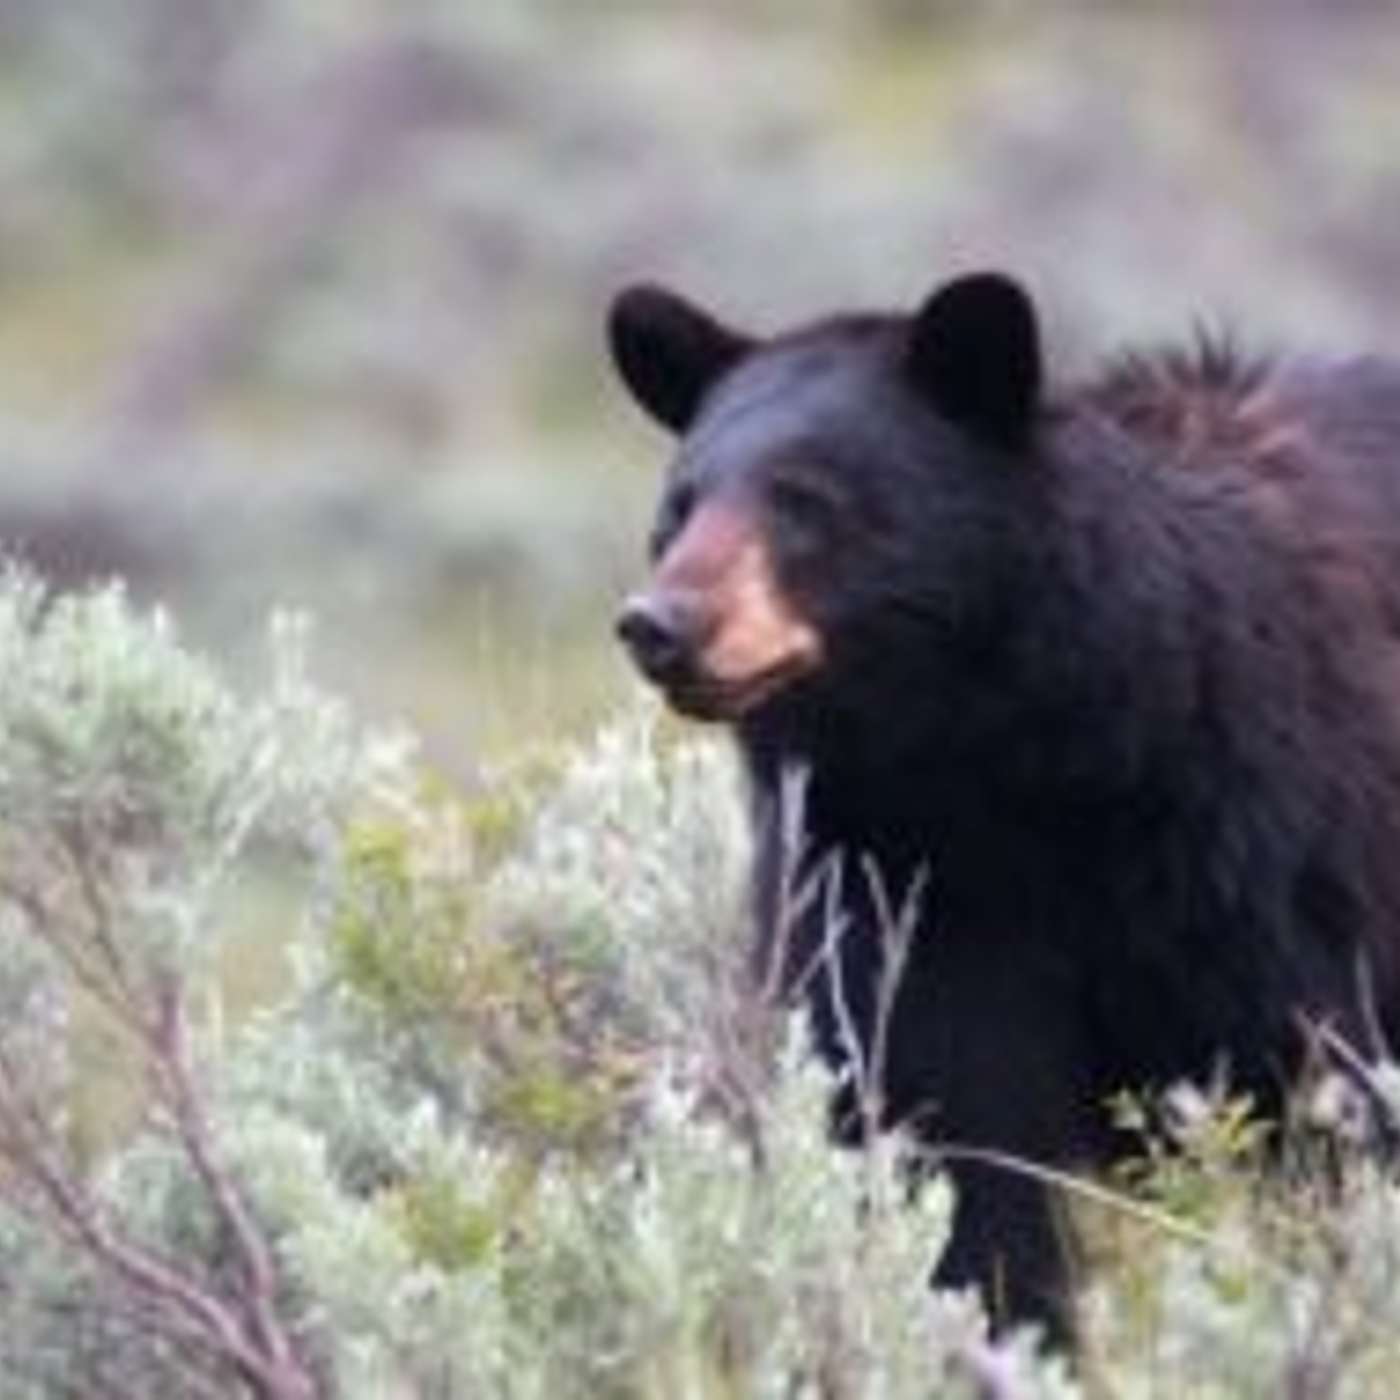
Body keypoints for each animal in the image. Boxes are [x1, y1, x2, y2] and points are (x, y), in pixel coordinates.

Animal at [605, 270, 1400, 1346]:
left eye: (805, 500)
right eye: (679, 505)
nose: (660, 623)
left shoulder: (1270, 850)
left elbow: (1317, 1094)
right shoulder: (900, 885)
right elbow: (951, 1133)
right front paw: (996, 1333)